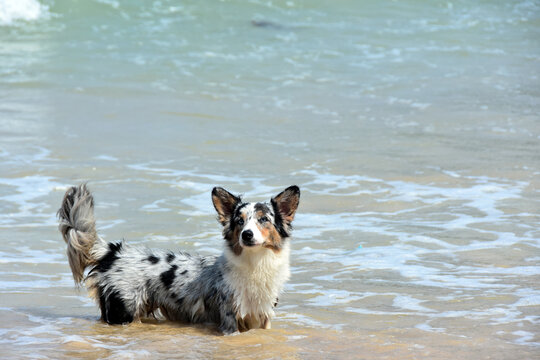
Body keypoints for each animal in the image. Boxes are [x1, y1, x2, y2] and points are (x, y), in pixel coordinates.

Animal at [58, 184, 300, 334]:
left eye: (264, 219)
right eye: (239, 221)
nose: (247, 235)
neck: (255, 264)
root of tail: (114, 251)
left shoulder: (263, 317)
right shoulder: (229, 319)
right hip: (123, 311)